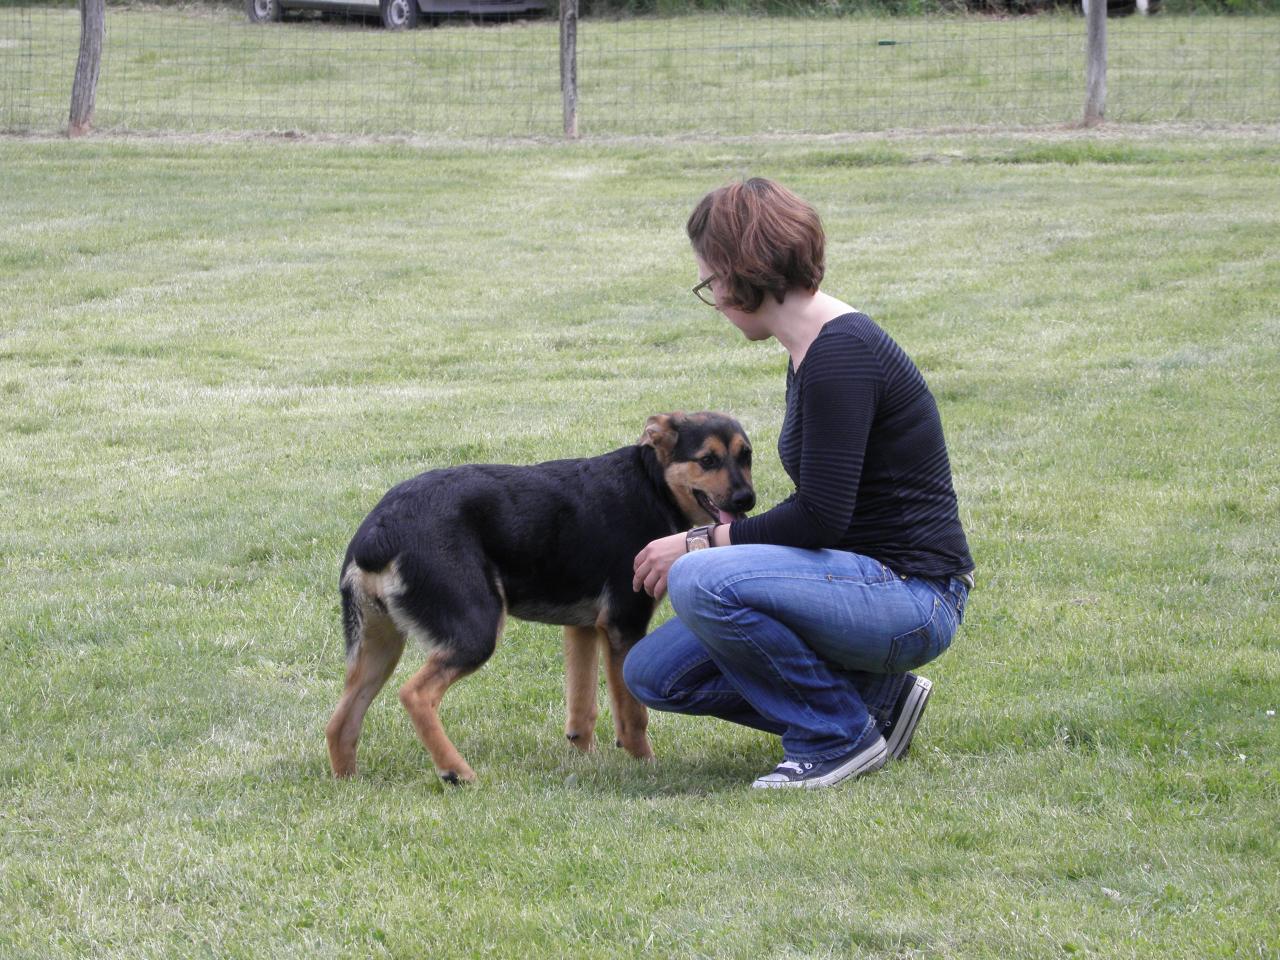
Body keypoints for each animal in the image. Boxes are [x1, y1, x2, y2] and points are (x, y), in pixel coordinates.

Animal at [325, 412, 752, 783]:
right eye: (707, 460)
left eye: (746, 455)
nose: (747, 499)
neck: (653, 485)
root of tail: (378, 532)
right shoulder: (623, 625)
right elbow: (632, 716)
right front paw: (645, 765)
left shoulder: (583, 628)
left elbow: (582, 709)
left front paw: (587, 759)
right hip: (474, 630)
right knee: (415, 695)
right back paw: (457, 771)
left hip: (377, 647)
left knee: (339, 723)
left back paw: (351, 783)